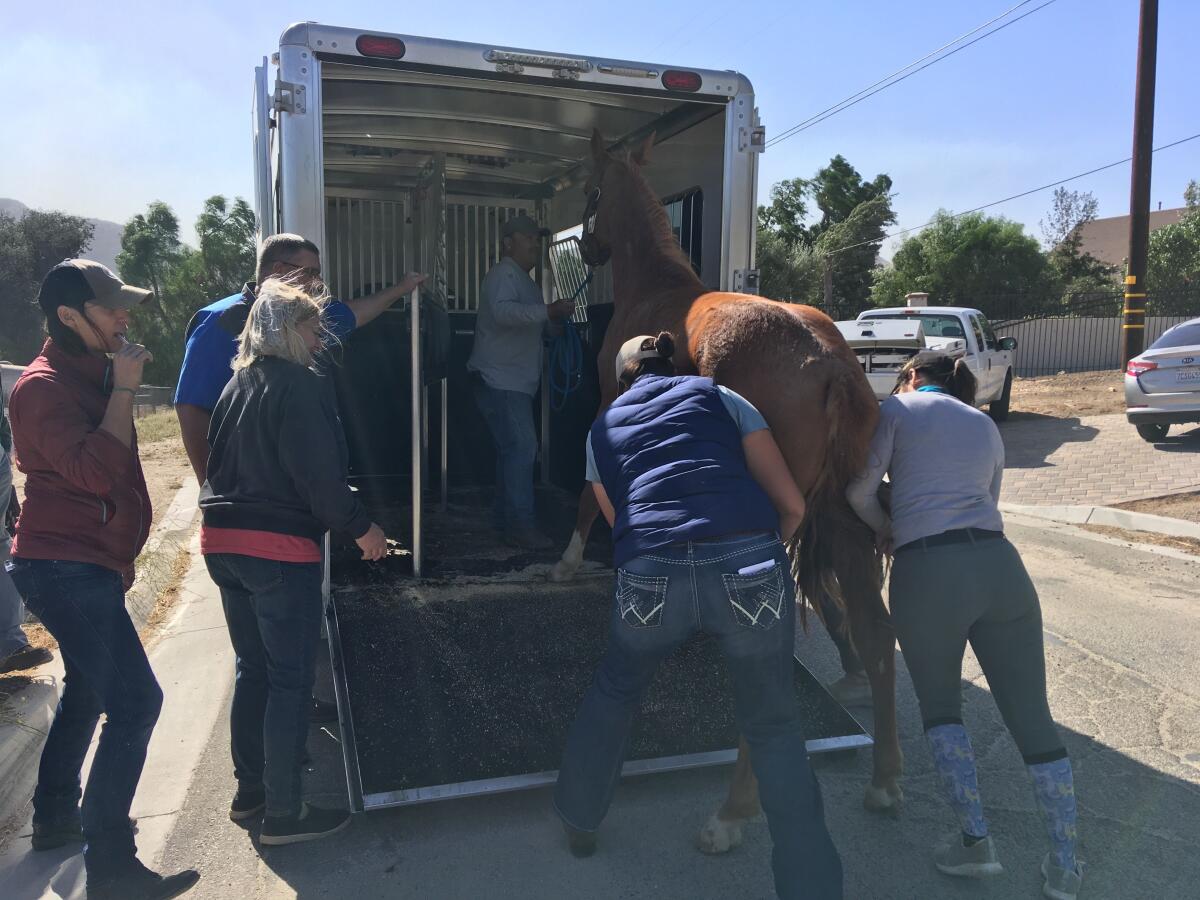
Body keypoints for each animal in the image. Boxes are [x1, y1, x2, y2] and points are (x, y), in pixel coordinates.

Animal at [549, 130, 902, 849]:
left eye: (592, 195)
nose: (587, 251)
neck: (656, 286)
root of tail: (831, 365)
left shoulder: (606, 409)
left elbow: (590, 493)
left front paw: (569, 560)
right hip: (843, 524)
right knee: (877, 639)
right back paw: (883, 780)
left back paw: (734, 812)